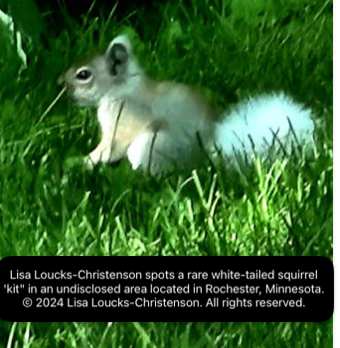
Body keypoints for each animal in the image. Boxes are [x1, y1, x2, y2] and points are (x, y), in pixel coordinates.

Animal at [59, 35, 316, 174]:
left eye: (84, 75)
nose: (60, 83)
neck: (121, 88)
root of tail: (210, 151)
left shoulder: (121, 121)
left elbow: (107, 149)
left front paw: (80, 162)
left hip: (150, 146)